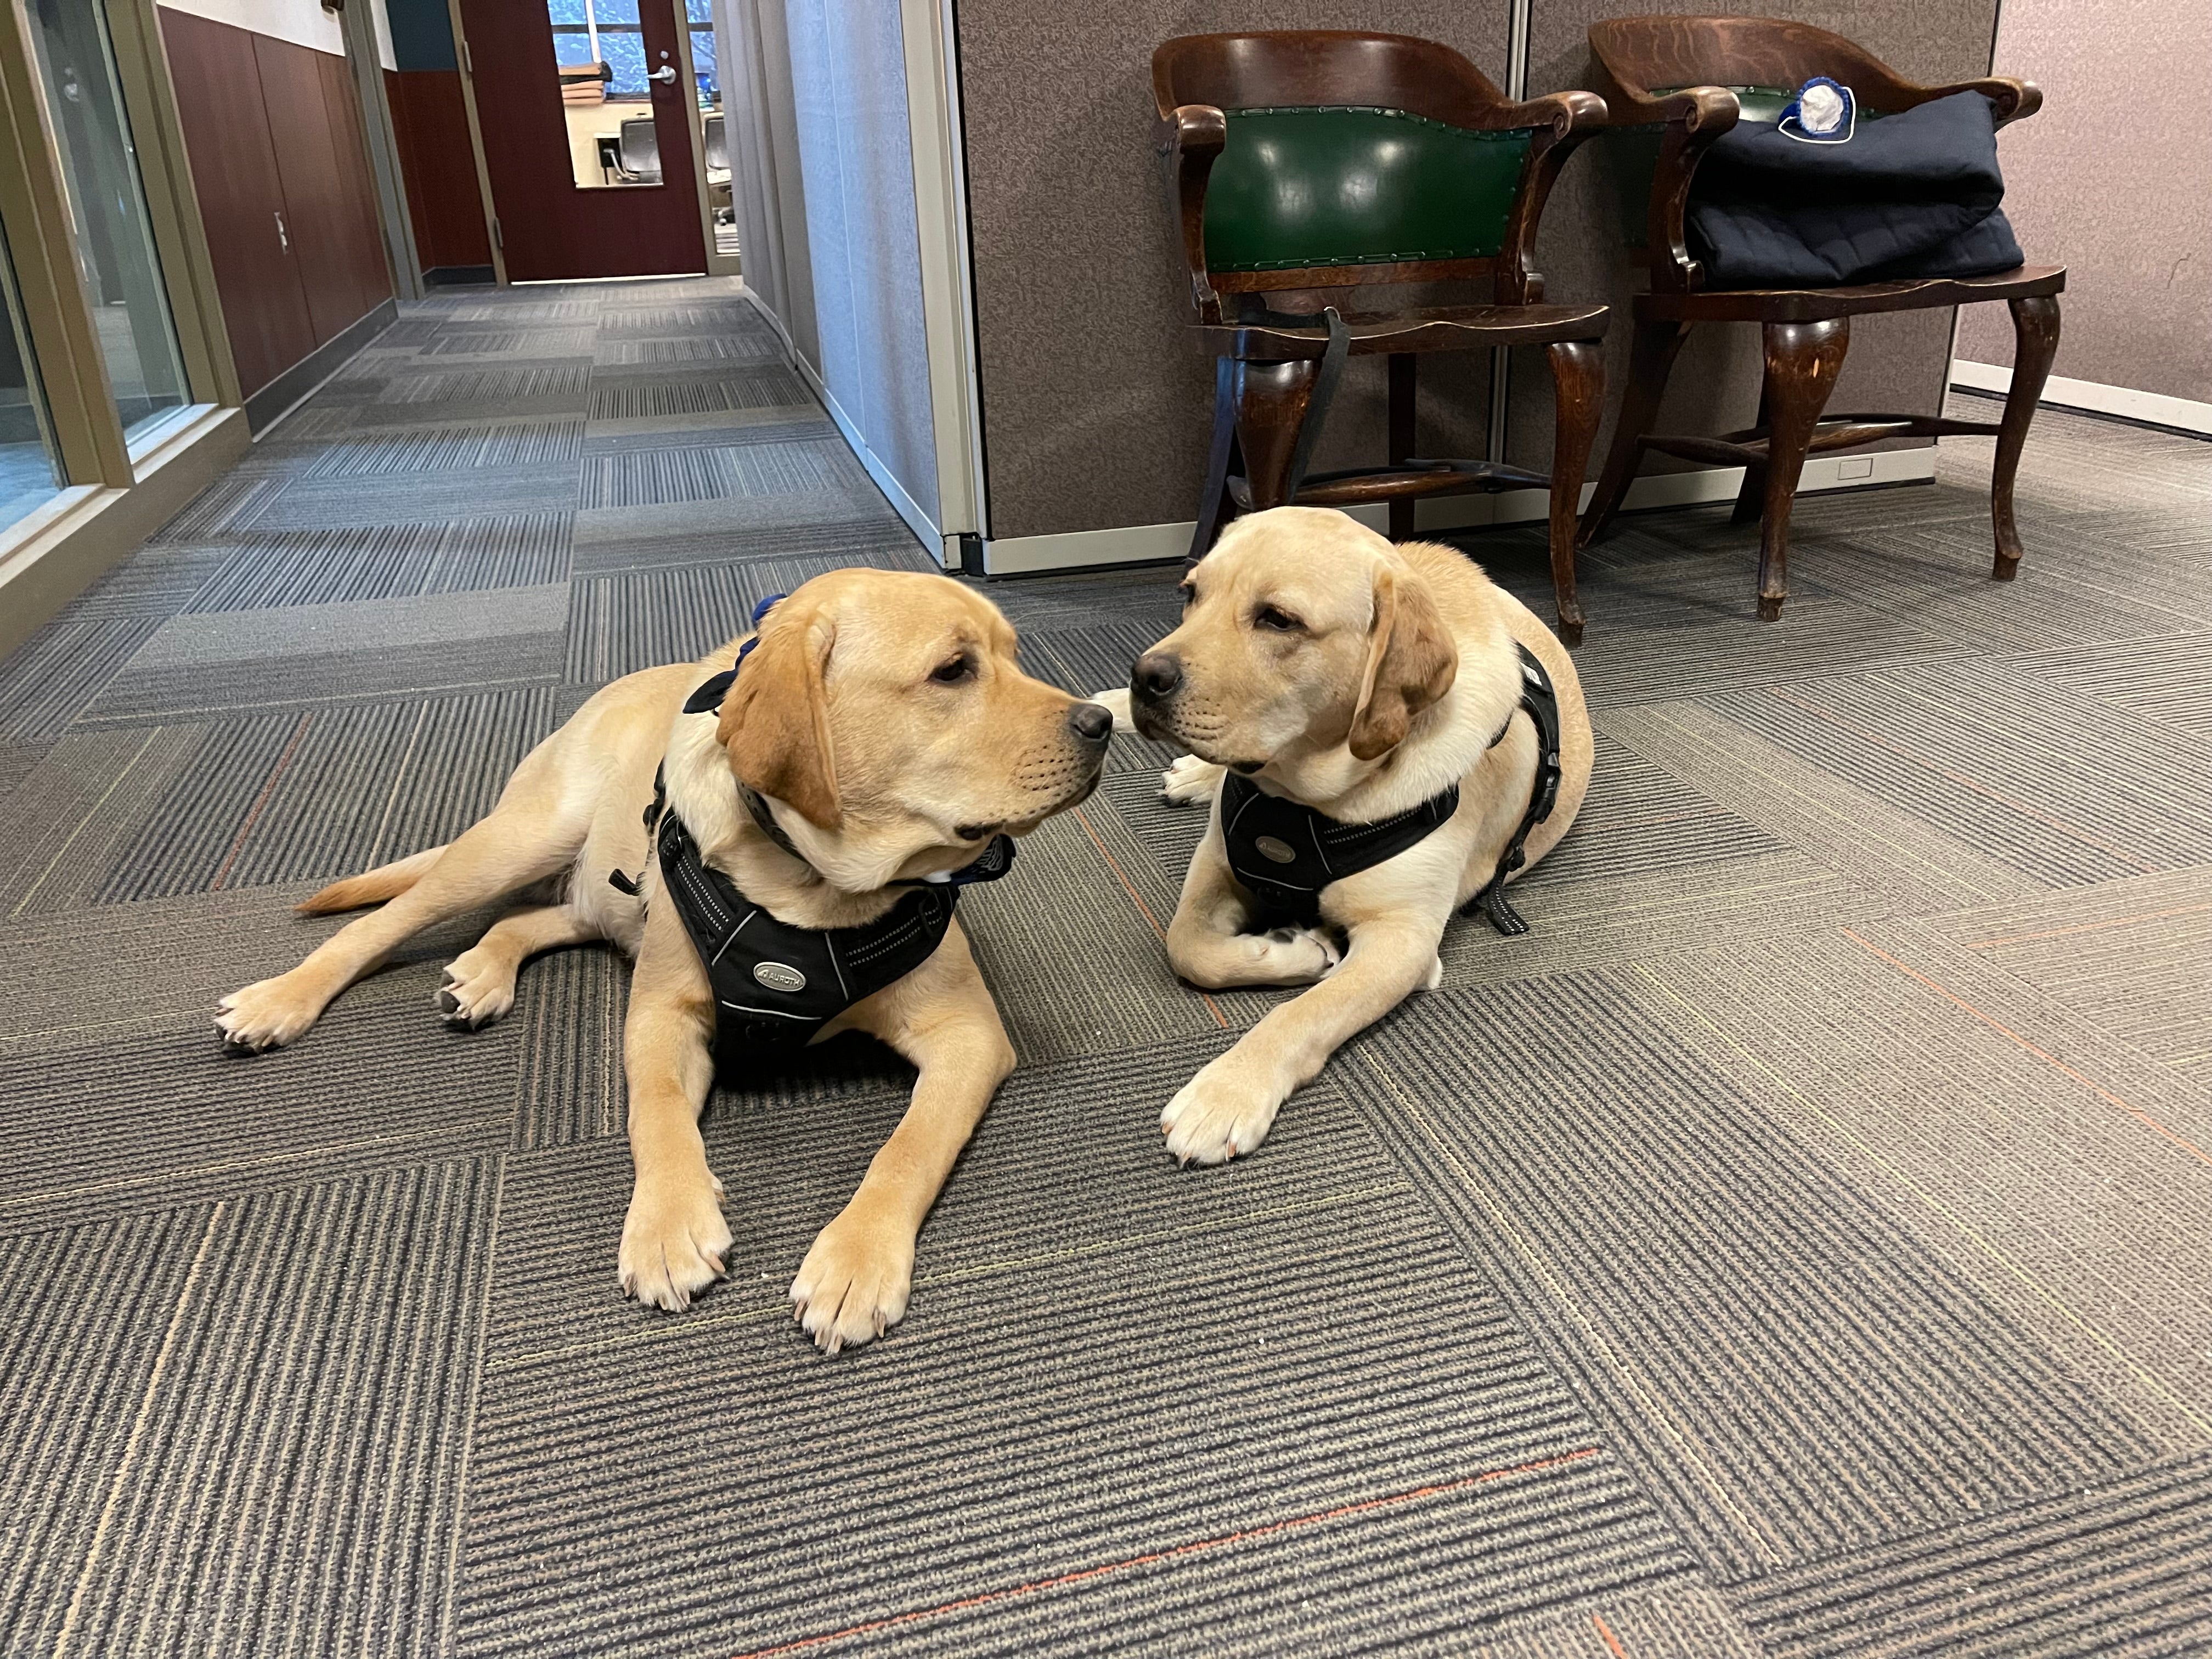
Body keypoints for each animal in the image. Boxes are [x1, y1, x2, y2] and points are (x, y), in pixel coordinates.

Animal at [218, 571, 1115, 1353]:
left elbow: (910, 1148)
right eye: (953, 670)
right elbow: (654, 1110)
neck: (809, 889)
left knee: (532, 918)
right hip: (520, 838)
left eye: (1014, 655)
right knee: (390, 920)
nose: (1101, 723)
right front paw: (667, 1225)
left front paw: (856, 1260)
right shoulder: (659, 1012)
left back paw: (483, 972)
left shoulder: (969, 1034)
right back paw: (278, 1001)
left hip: (605, 894)